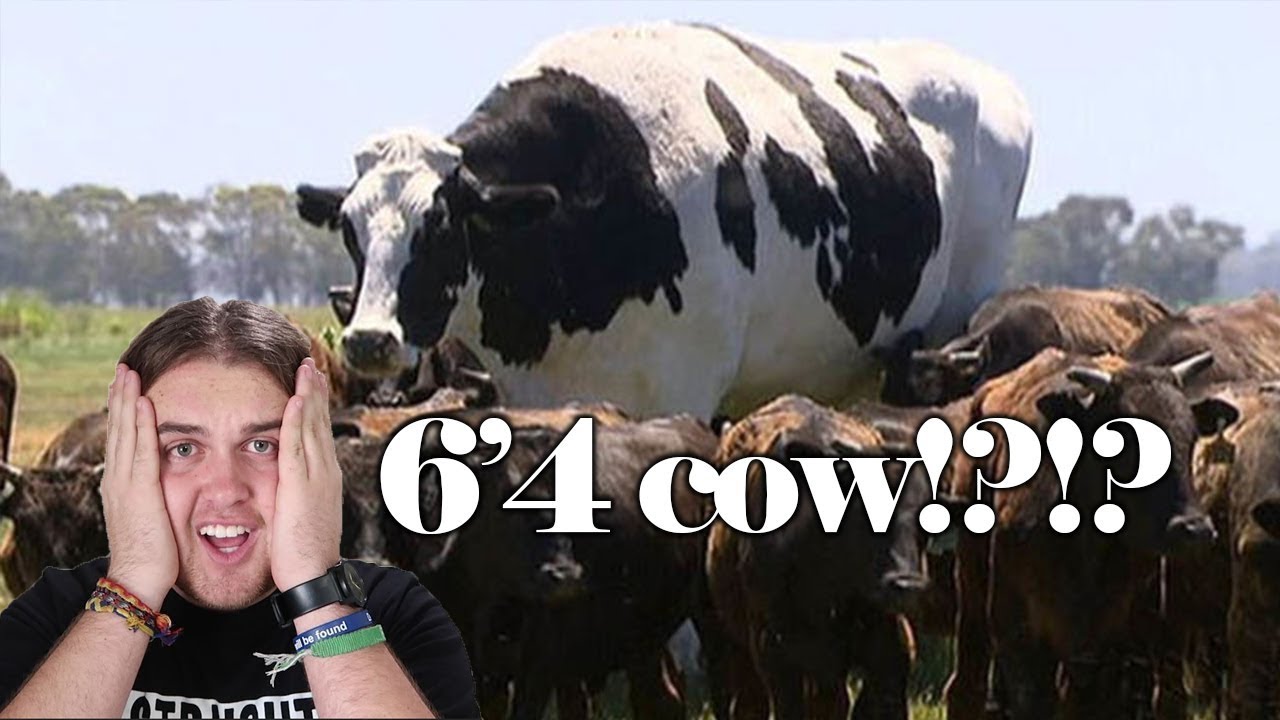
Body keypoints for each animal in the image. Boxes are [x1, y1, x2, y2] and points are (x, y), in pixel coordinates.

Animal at [946, 348, 1234, 720]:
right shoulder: (1019, 635)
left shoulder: (1115, 645)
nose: (1194, 529)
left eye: (1192, 437)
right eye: (1125, 442)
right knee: (967, 682)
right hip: (972, 587)